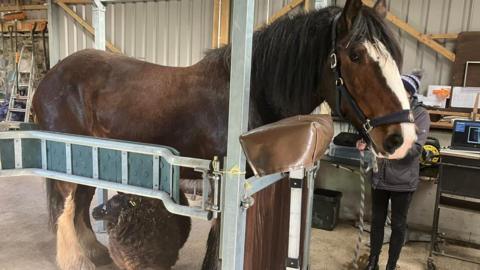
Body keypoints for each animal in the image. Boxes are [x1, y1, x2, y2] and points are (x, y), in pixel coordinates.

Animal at [33, 0, 416, 270]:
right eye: (356, 55)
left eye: (396, 56)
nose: (402, 139)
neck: (252, 92)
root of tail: (49, 78)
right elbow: (218, 244)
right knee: (70, 212)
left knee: (80, 210)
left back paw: (97, 256)